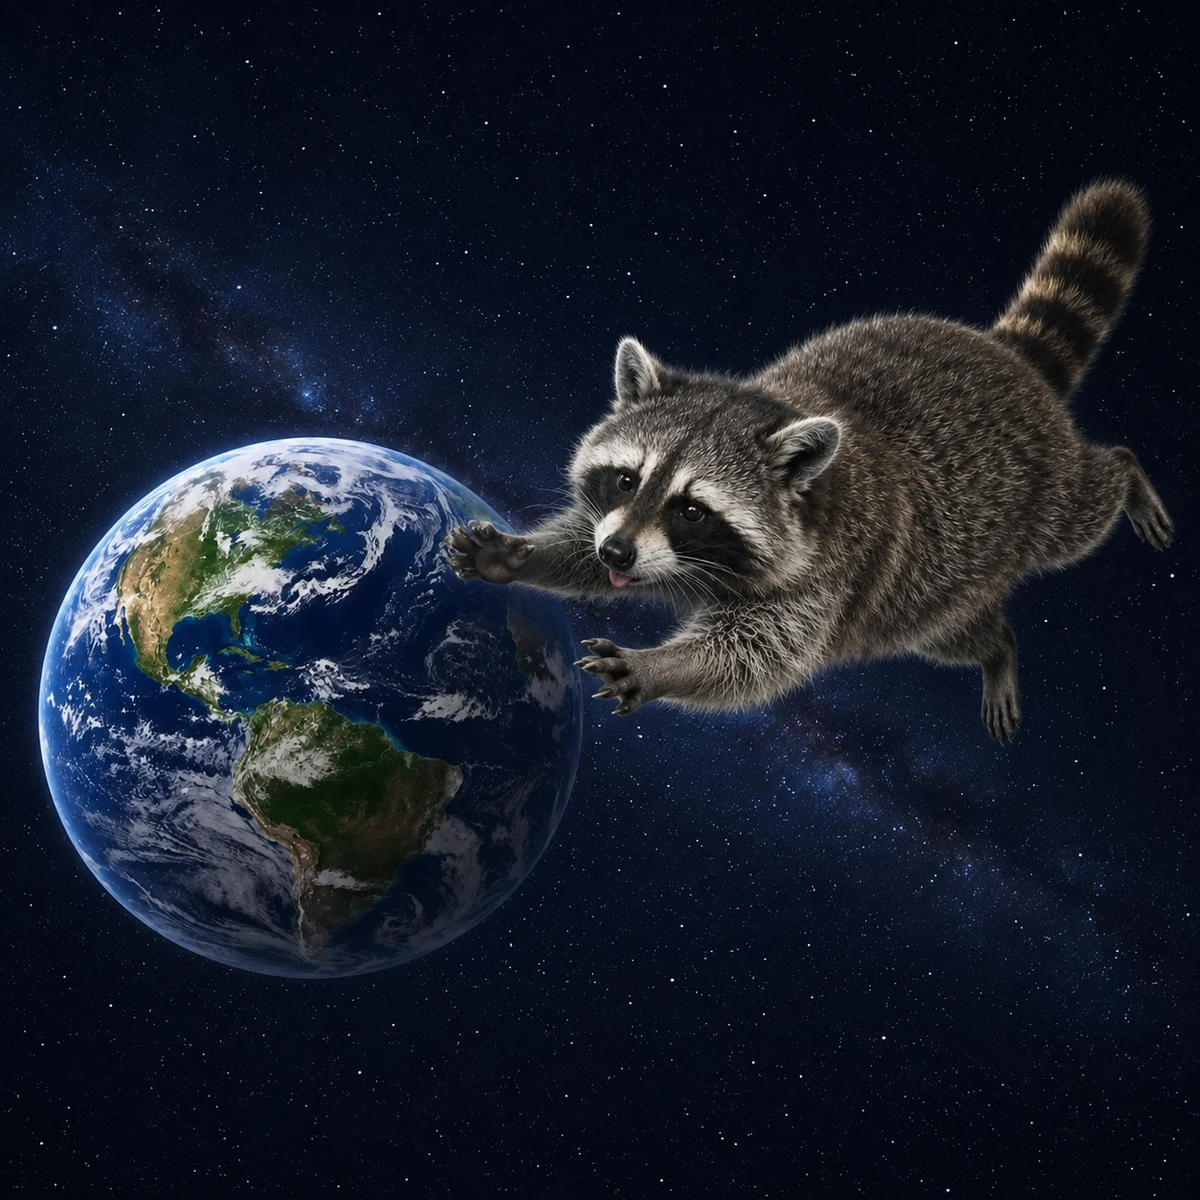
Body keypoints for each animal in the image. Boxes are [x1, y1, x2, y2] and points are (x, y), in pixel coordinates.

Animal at [444, 180, 1173, 742]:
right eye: (626, 478)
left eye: (692, 510)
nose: (618, 552)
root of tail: (1005, 355)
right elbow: (583, 543)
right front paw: (529, 554)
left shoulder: (836, 567)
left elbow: (761, 655)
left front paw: (660, 666)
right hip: (933, 593)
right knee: (960, 634)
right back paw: (1000, 644)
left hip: (1010, 519)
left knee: (1076, 516)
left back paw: (1122, 484)